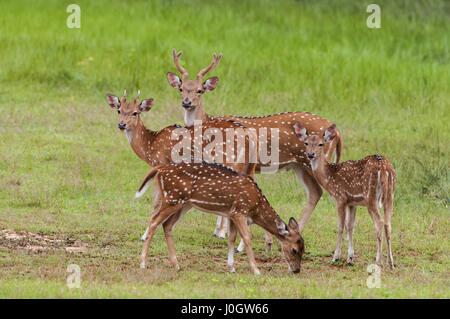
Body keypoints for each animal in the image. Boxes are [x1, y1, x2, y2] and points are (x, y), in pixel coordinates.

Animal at [103, 90, 270, 250]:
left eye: (135, 112)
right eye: (119, 110)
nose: (121, 125)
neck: (150, 146)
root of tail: (251, 138)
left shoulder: (162, 163)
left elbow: (156, 202)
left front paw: (144, 235)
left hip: (232, 163)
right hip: (249, 168)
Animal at [136, 162, 306, 276]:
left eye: (304, 249)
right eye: (294, 250)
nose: (297, 270)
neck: (256, 207)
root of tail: (159, 169)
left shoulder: (231, 214)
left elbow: (231, 238)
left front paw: (231, 267)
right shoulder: (240, 211)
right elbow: (247, 237)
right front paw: (256, 270)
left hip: (184, 204)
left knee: (167, 225)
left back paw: (177, 265)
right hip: (172, 198)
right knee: (154, 221)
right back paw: (143, 263)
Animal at [167, 50, 342, 235]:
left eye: (200, 90)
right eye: (181, 89)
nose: (186, 102)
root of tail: (337, 132)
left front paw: (221, 232)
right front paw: (220, 230)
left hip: (314, 161)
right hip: (299, 165)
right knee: (315, 193)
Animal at [294, 122, 396, 268]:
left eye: (321, 144)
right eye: (306, 143)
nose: (311, 154)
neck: (329, 178)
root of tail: (384, 168)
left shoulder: (340, 198)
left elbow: (340, 227)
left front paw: (336, 257)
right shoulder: (352, 203)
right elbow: (350, 226)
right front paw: (350, 258)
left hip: (371, 198)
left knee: (379, 223)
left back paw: (378, 261)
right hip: (390, 196)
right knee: (388, 224)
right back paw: (391, 262)